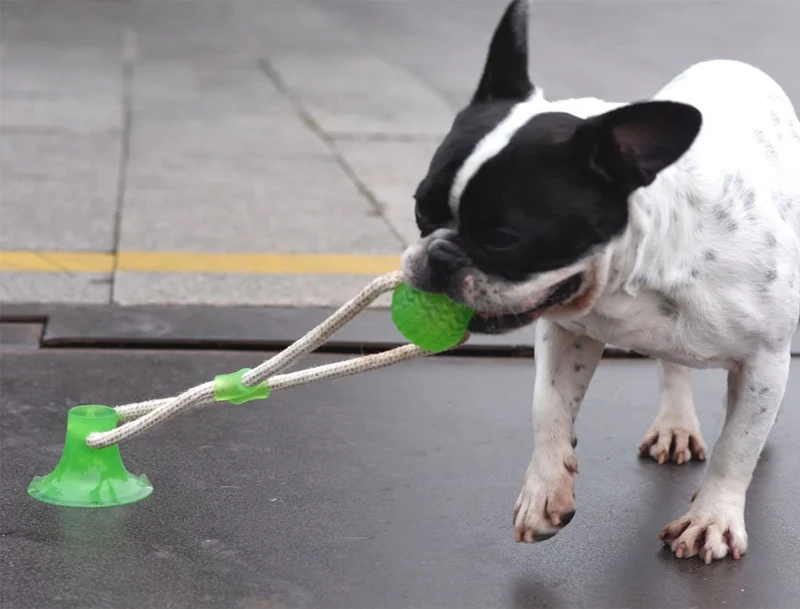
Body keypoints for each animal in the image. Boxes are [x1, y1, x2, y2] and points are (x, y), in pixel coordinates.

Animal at [404, 0, 800, 564]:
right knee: (673, 366)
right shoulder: (566, 330)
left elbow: (737, 445)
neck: (639, 266)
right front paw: (544, 490)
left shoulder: (765, 357)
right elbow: (548, 405)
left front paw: (713, 518)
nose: (438, 255)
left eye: (505, 238)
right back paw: (675, 423)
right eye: (420, 208)